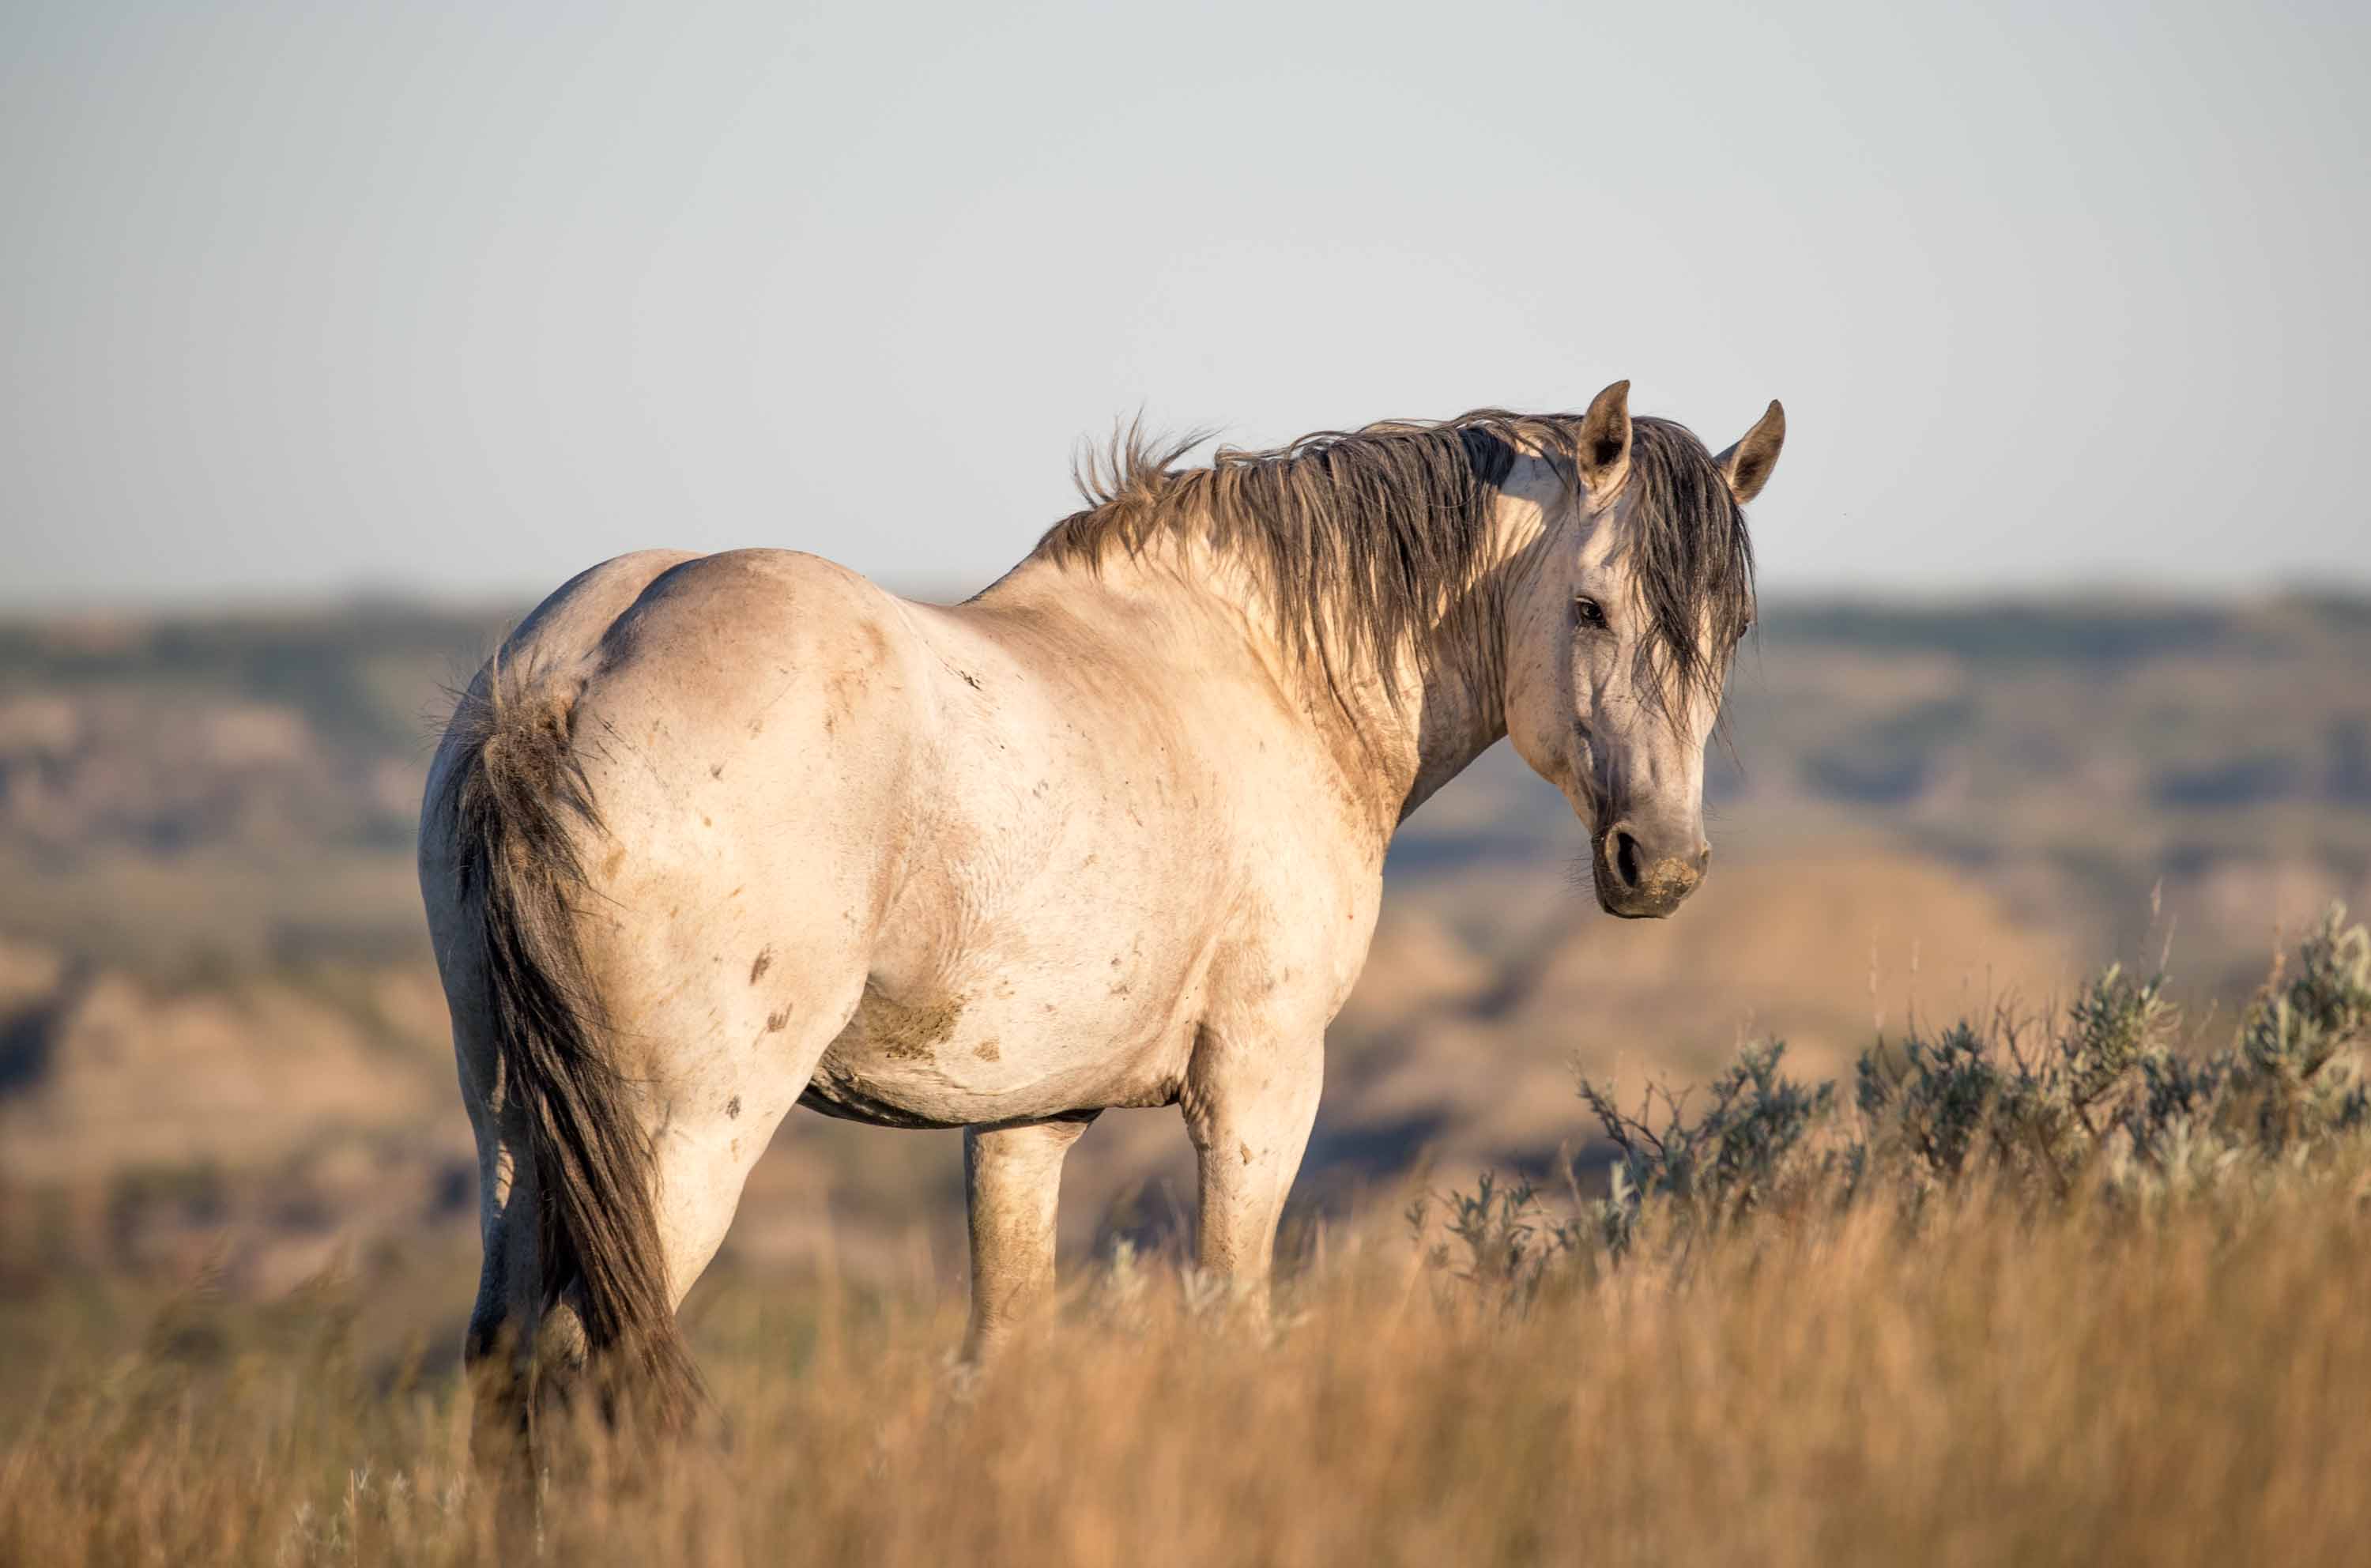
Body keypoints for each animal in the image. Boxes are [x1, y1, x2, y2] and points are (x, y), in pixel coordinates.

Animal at [417, 377, 1783, 1442]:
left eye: (1734, 628)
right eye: (1593, 606)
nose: (1661, 863)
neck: (1266, 675)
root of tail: (564, 676)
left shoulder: (1024, 1122)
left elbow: (1003, 1352)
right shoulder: (1261, 1085)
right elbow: (1231, 1319)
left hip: (513, 1129)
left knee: (504, 1364)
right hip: (686, 1138)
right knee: (596, 1368)